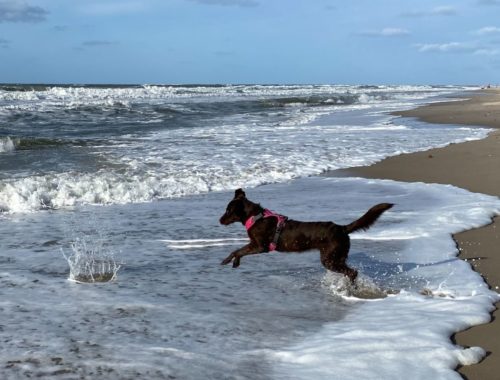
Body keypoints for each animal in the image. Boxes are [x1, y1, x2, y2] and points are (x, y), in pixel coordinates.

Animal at [221, 189, 392, 282]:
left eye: (228, 211)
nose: (219, 220)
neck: (255, 217)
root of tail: (342, 228)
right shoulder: (256, 245)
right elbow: (239, 251)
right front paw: (234, 262)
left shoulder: (259, 246)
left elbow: (238, 251)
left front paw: (228, 261)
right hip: (338, 257)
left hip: (330, 259)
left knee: (352, 272)